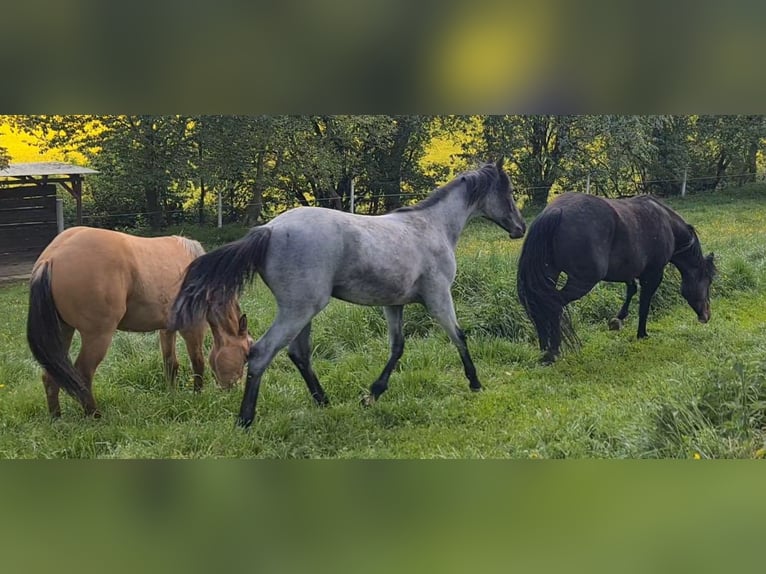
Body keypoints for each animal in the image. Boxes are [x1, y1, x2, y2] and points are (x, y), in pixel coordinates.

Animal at [24, 225, 250, 418]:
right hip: (97, 336)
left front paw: (173, 396)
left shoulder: (167, 329)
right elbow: (198, 363)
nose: (234, 391)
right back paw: (94, 415)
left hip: (62, 331)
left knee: (50, 376)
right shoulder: (192, 328)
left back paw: (56, 417)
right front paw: (197, 396)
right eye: (247, 353)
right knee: (83, 374)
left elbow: (171, 364)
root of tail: (51, 257)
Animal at [170, 160, 524, 430]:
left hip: (303, 311)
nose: (520, 228)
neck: (432, 226)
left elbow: (397, 348)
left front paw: (371, 395)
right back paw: (245, 420)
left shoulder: (393, 304)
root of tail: (268, 229)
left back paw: (324, 402)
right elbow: (459, 337)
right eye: (507, 192)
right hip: (300, 309)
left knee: (299, 354)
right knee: (261, 353)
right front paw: (475, 383)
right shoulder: (439, 297)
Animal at [516, 194, 720, 364]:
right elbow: (644, 304)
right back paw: (553, 352)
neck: (667, 224)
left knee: (541, 306)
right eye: (708, 281)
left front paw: (617, 320)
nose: (706, 315)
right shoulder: (653, 275)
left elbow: (631, 290)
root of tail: (555, 212)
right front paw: (642, 333)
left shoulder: (628, 271)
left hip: (549, 275)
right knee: (554, 306)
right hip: (581, 281)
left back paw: (545, 349)